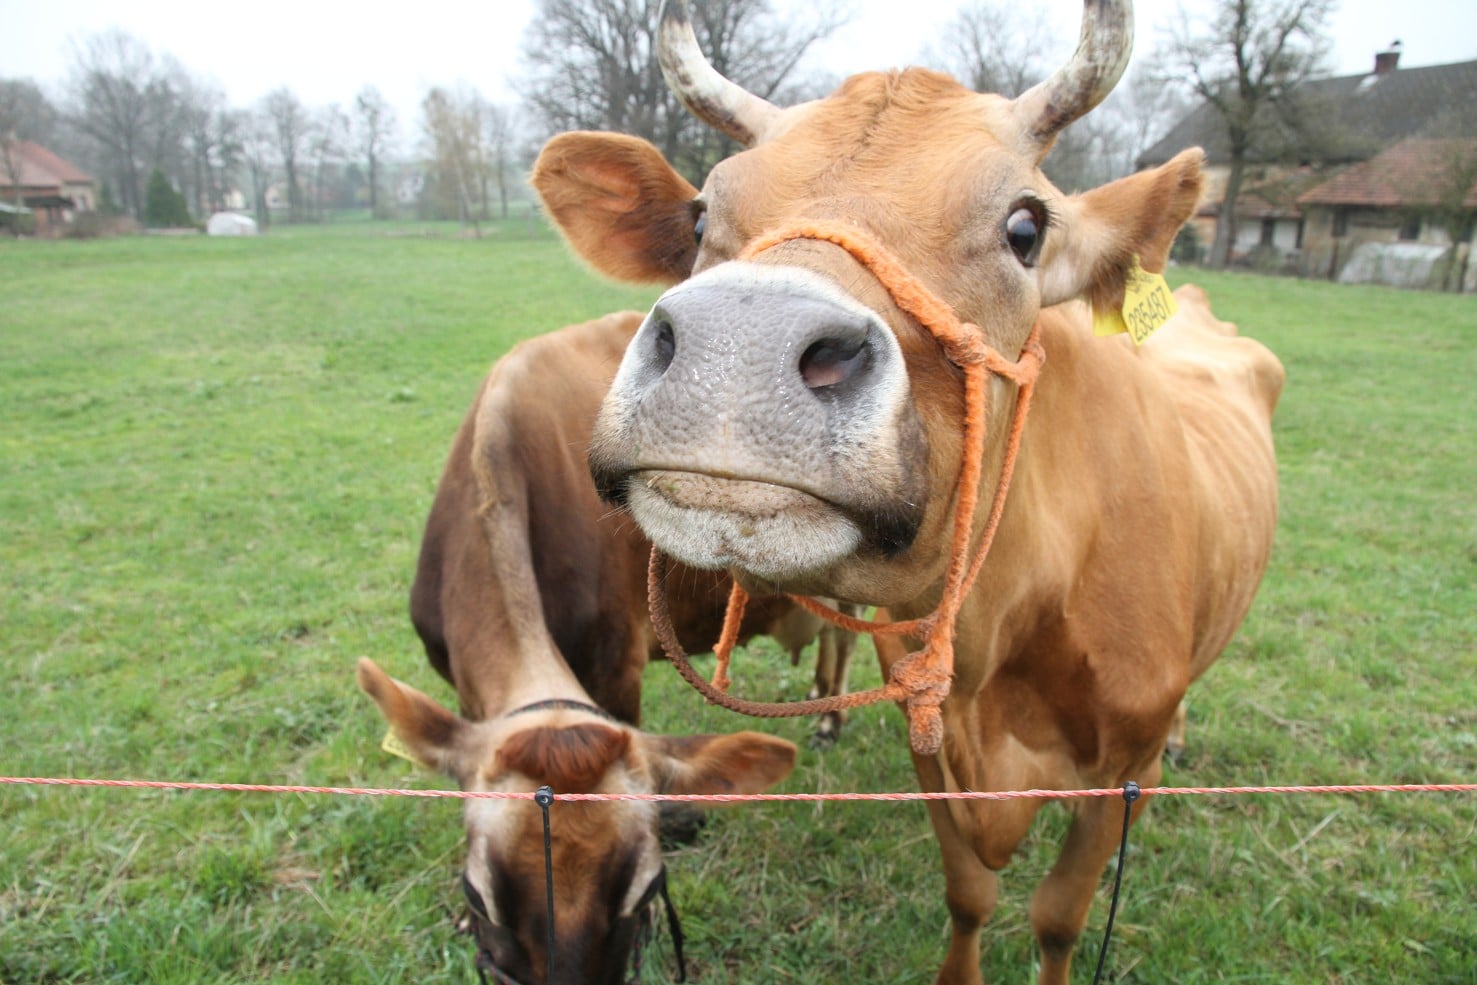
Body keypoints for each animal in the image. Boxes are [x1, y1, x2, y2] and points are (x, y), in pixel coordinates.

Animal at [531, 3, 1282, 980]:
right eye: (699, 217)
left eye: (1025, 227)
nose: (739, 348)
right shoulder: (929, 740)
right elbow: (969, 894)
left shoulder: (1124, 774)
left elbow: (1058, 917)